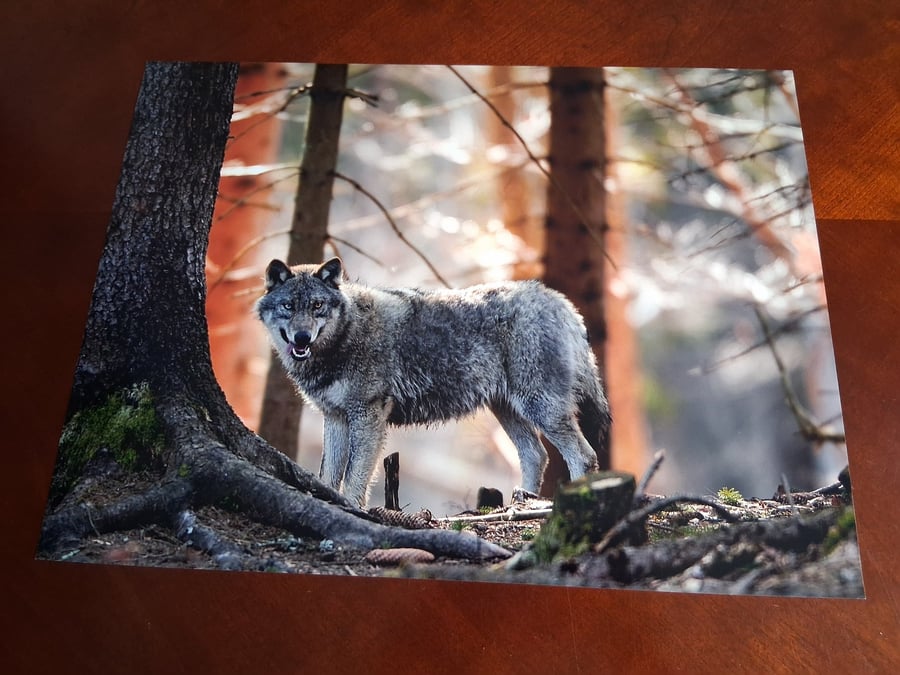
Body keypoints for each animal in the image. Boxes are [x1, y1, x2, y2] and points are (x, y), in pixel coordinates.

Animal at [256, 257, 611, 507]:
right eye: (289, 306)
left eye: (317, 306)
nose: (302, 338)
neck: (345, 337)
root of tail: (562, 302)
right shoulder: (336, 417)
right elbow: (329, 475)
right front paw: (331, 500)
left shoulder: (368, 416)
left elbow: (355, 475)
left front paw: (351, 507)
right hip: (508, 410)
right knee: (537, 454)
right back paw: (521, 502)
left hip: (539, 408)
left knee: (584, 456)